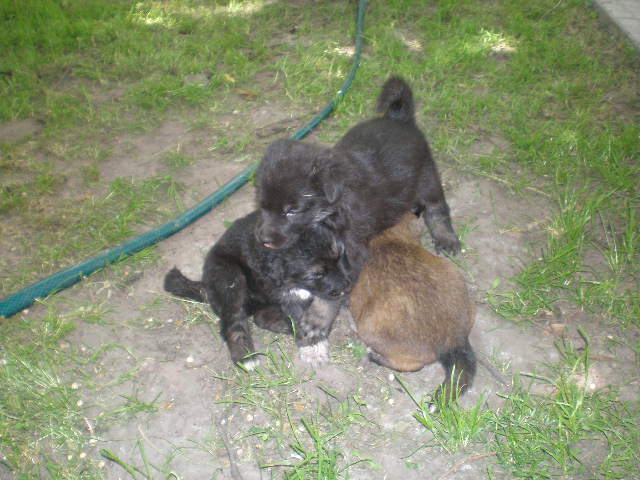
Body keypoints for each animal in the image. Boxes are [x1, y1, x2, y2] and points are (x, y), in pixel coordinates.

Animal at [164, 211, 350, 368]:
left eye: (339, 256)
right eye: (316, 274)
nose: (345, 287)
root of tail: (206, 285)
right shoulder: (289, 294)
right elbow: (301, 315)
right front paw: (313, 347)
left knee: (260, 317)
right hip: (230, 278)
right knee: (233, 322)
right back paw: (246, 357)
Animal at [255, 76, 460, 287]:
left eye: (292, 211)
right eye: (262, 206)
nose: (264, 239)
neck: (333, 207)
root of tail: (397, 117)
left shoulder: (353, 243)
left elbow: (350, 270)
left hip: (427, 175)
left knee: (437, 208)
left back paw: (447, 239)